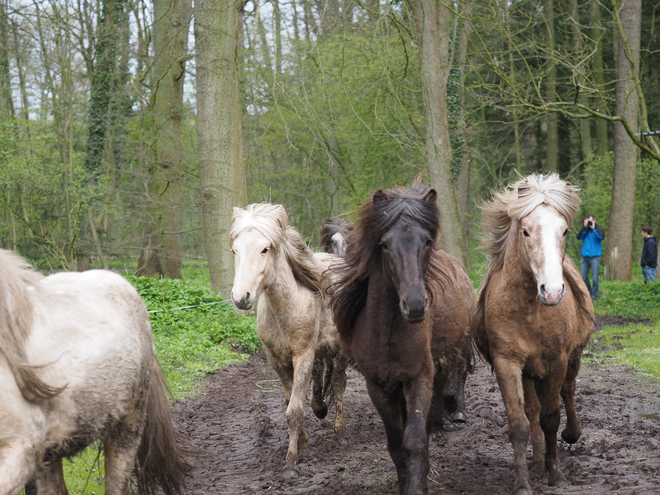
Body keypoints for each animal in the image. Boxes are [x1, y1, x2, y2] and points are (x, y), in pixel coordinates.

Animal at [229, 202, 348, 480]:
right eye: (235, 250)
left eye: (265, 248)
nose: (241, 297)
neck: (286, 308)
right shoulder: (277, 361)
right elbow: (291, 401)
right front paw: (303, 445)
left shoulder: (303, 355)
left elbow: (294, 410)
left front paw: (292, 462)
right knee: (320, 380)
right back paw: (319, 407)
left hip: (338, 353)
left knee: (339, 385)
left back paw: (339, 432)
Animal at [330, 184, 474, 494]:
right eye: (384, 245)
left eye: (427, 241)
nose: (416, 305)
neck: (388, 335)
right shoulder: (378, 386)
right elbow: (396, 443)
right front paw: (403, 481)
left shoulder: (419, 379)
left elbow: (415, 440)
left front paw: (417, 485)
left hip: (441, 368)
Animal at [472, 174, 596, 495]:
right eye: (526, 231)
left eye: (565, 230)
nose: (551, 291)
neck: (530, 311)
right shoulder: (508, 363)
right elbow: (521, 423)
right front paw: (524, 481)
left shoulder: (557, 361)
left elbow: (551, 417)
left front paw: (557, 475)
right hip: (529, 373)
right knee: (532, 411)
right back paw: (538, 463)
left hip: (572, 359)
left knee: (568, 391)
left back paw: (572, 434)